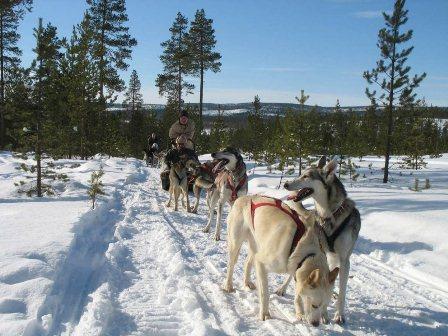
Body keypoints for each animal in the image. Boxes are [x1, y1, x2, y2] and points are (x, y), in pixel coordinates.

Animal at [222, 194, 338, 326]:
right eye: (314, 305)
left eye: (325, 306)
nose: (316, 324)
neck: (305, 252)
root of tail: (244, 197)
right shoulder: (262, 264)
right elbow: (264, 293)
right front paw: (265, 314)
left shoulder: (293, 266)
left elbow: (296, 287)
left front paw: (299, 311)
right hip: (236, 244)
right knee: (231, 265)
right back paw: (228, 285)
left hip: (257, 247)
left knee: (247, 262)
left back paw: (247, 282)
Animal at [282, 156, 362, 324]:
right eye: (301, 174)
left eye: (306, 176)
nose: (286, 184)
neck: (329, 215)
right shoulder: (319, 251)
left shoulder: (344, 260)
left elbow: (342, 291)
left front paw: (338, 314)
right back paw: (283, 288)